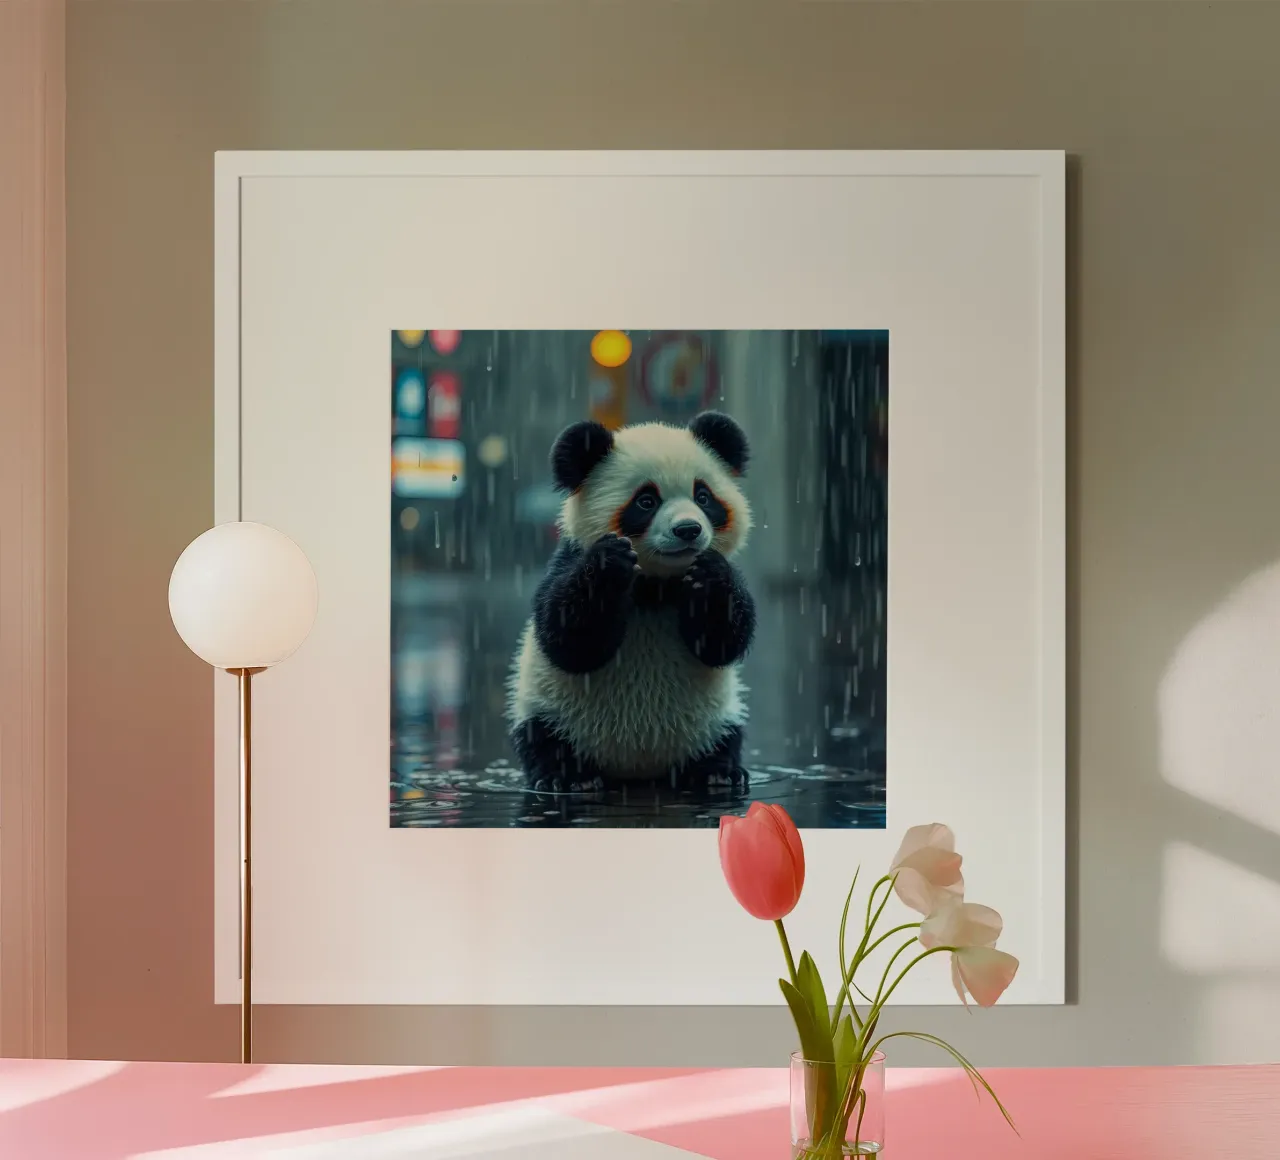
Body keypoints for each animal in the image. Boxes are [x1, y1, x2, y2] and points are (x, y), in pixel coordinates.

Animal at [507, 410, 756, 792]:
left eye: (703, 496)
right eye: (646, 501)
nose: (688, 529)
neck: (657, 586)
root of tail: (637, 770)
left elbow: (722, 643)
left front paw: (711, 575)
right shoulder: (567, 560)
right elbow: (567, 639)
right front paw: (609, 564)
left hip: (713, 719)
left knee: (725, 737)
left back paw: (716, 773)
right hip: (552, 710)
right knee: (544, 739)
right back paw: (568, 778)